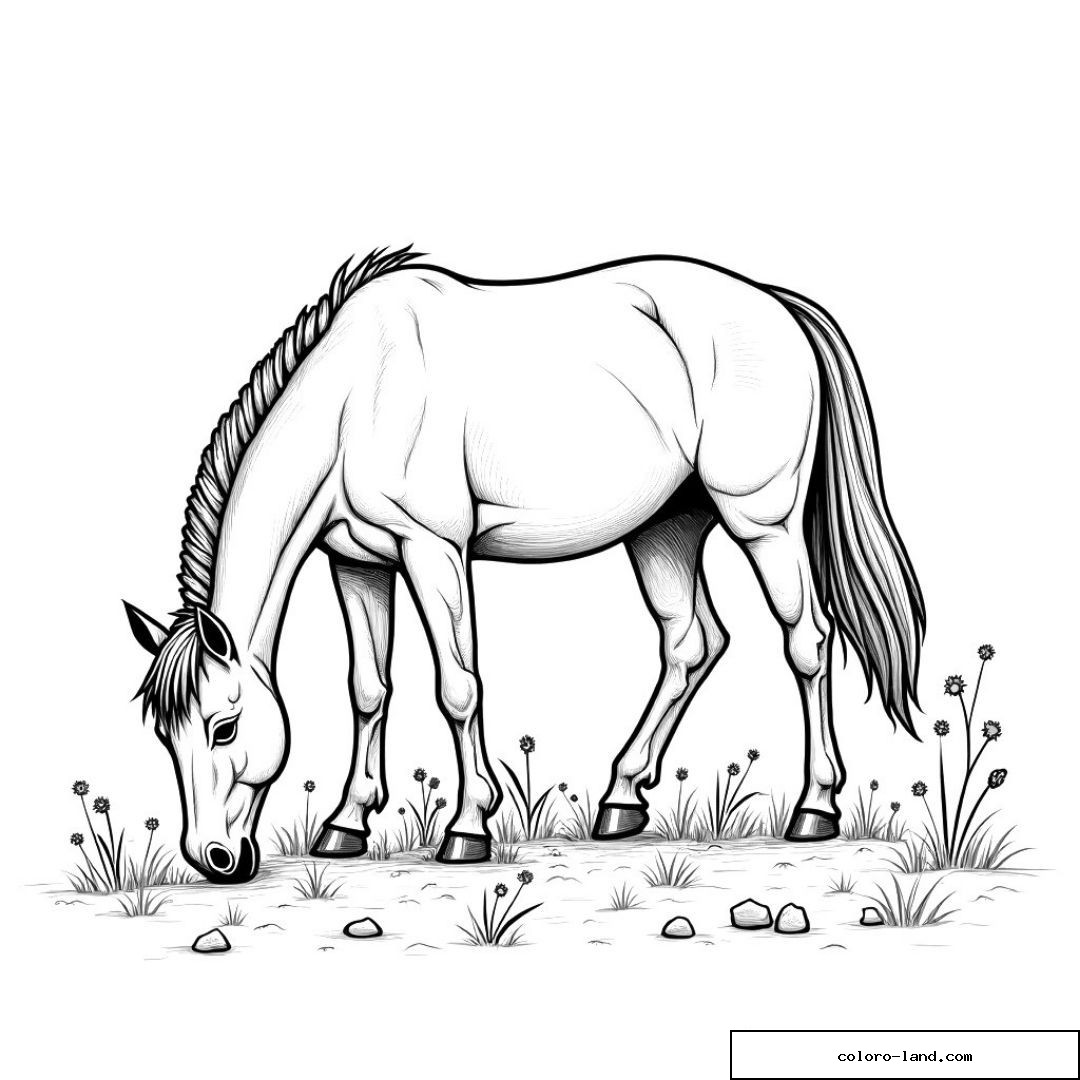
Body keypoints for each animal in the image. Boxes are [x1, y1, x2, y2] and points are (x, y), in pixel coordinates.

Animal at [124, 246, 924, 883]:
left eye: (224, 729)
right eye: (165, 733)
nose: (214, 860)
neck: (361, 394)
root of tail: (775, 303)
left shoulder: (433, 551)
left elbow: (458, 688)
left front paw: (467, 829)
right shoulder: (356, 564)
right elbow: (368, 690)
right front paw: (346, 824)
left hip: (762, 522)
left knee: (806, 643)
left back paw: (814, 809)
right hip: (667, 528)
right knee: (691, 643)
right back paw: (620, 800)